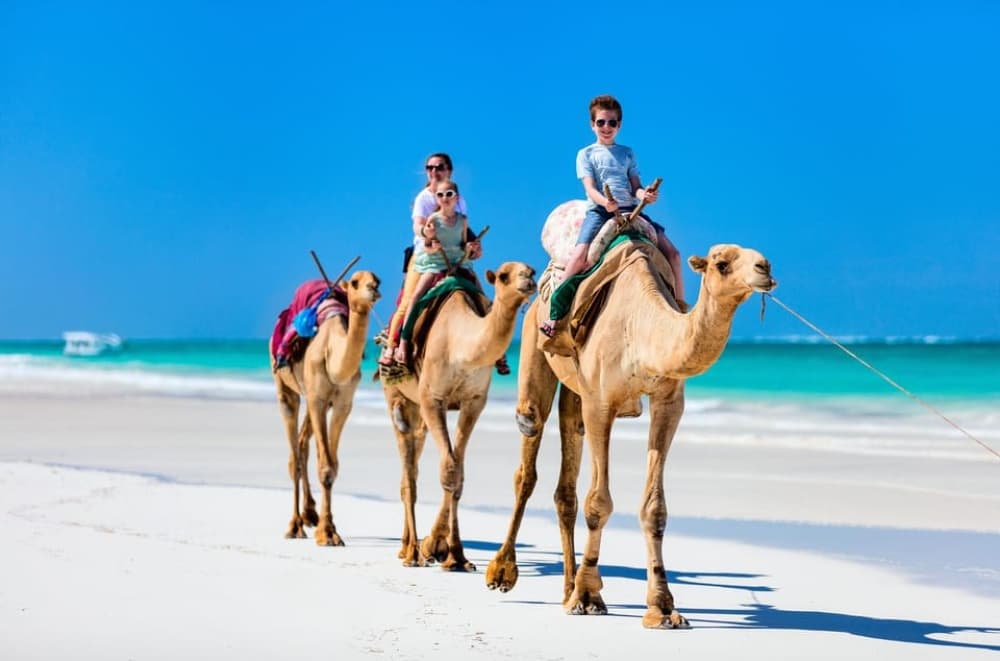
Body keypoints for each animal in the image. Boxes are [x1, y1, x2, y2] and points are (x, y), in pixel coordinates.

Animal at [271, 270, 381, 545]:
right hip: (287, 389)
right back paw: (295, 526)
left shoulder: (342, 404)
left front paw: (328, 528)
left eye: (378, 280)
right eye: (355, 282)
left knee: (302, 443)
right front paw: (327, 534)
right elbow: (325, 466)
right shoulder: (317, 399)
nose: (373, 289)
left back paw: (310, 514)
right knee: (294, 457)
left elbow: (332, 465)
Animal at [382, 262, 537, 569]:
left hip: (417, 410)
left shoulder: (473, 402)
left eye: (532, 270)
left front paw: (451, 553)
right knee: (408, 473)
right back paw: (411, 553)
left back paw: (407, 547)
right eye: (504, 276)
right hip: (397, 397)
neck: (459, 345)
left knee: (414, 461)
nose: (528, 281)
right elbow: (449, 469)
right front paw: (440, 551)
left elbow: (458, 472)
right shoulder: (432, 399)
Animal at [485, 242, 775, 628]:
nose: (765, 268)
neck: (640, 329)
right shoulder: (600, 403)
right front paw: (589, 596)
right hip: (536, 346)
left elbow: (654, 508)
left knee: (566, 478)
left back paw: (567, 589)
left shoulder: (669, 403)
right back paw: (503, 572)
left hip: (575, 393)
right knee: (528, 448)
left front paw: (662, 607)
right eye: (722, 264)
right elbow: (598, 502)